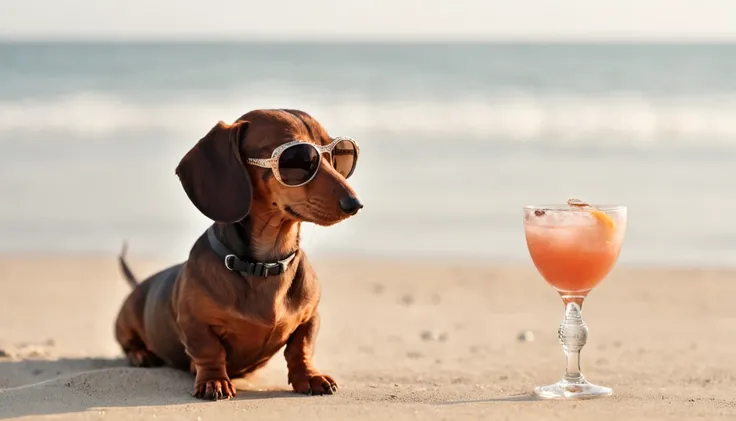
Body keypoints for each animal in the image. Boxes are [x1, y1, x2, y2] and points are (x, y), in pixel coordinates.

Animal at [113, 109, 364, 400]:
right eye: (299, 159)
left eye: (337, 155)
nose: (355, 204)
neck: (265, 263)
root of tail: (139, 284)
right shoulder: (194, 322)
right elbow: (208, 351)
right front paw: (214, 381)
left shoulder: (310, 317)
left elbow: (301, 348)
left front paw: (310, 377)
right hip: (125, 322)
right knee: (129, 343)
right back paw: (141, 355)